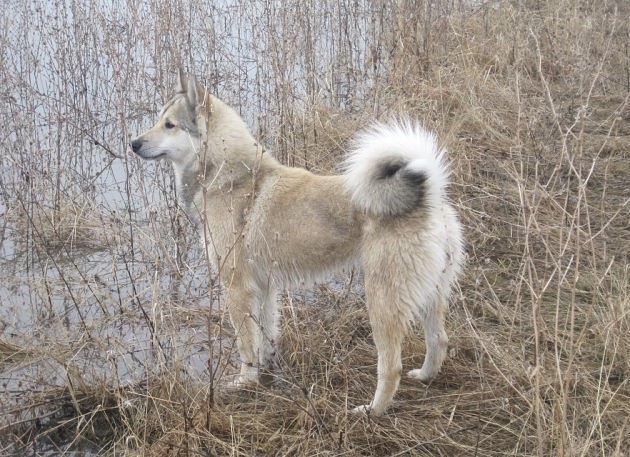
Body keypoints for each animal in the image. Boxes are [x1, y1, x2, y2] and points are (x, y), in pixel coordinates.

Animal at [131, 71, 464, 414]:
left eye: (169, 125)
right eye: (159, 120)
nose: (134, 143)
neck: (229, 174)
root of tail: (429, 196)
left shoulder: (237, 288)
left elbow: (246, 344)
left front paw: (244, 382)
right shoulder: (263, 287)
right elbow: (264, 335)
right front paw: (265, 370)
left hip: (383, 299)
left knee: (391, 366)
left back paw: (372, 410)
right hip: (430, 293)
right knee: (439, 340)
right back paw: (424, 376)